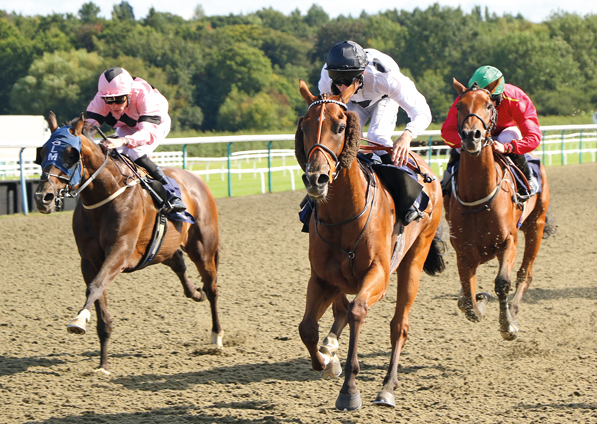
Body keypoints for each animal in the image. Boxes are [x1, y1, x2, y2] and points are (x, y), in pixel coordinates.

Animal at [33, 112, 222, 374]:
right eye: (42, 152)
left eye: (71, 155)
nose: (43, 197)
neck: (104, 195)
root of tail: (197, 180)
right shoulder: (89, 261)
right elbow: (97, 296)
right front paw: (102, 364)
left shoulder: (120, 251)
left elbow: (95, 286)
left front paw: (78, 320)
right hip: (163, 247)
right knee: (178, 262)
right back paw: (196, 293)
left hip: (203, 247)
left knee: (212, 287)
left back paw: (217, 336)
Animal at [296, 80, 444, 410]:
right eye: (305, 125)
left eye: (340, 127)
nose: (316, 179)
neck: (343, 215)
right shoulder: (321, 277)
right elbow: (308, 327)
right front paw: (325, 361)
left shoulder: (378, 274)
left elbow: (356, 312)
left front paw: (349, 390)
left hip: (414, 259)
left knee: (399, 326)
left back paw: (387, 387)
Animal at [444, 78, 552, 342]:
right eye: (459, 105)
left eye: (488, 105)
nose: (471, 135)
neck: (478, 196)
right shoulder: (463, 252)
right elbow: (469, 302)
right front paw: (477, 299)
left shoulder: (508, 242)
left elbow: (502, 282)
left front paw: (507, 325)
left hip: (536, 225)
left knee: (525, 273)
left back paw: (513, 310)